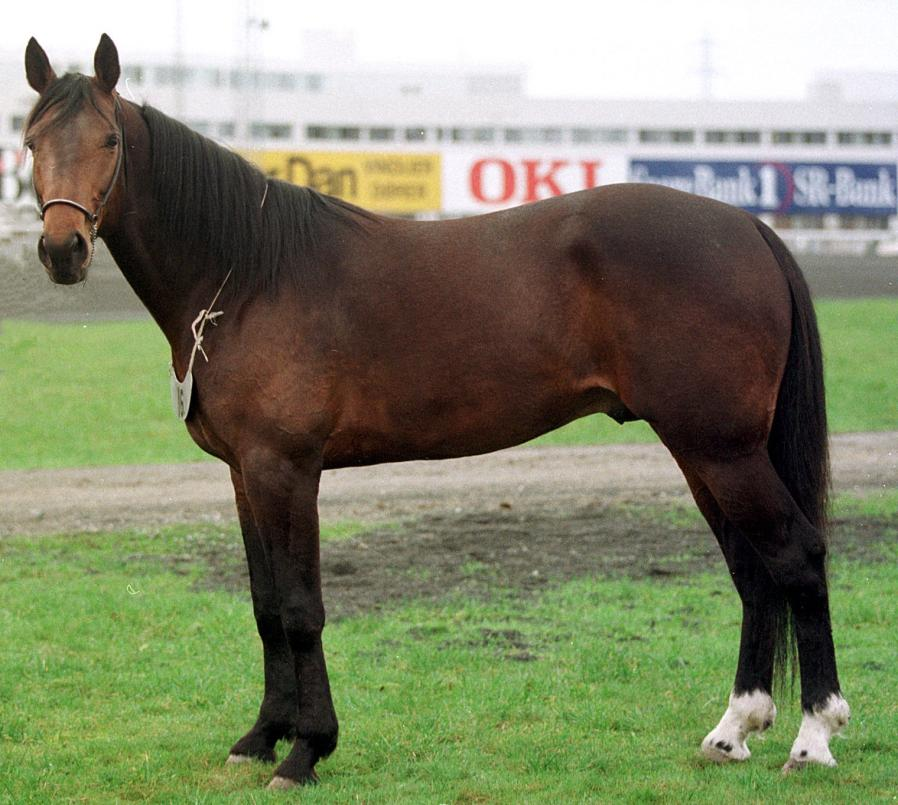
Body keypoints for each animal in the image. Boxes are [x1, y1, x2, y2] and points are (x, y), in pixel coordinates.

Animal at [21, 36, 848, 784]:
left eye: (110, 139)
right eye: (31, 140)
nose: (62, 249)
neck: (250, 274)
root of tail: (746, 228)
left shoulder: (288, 469)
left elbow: (301, 607)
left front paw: (306, 750)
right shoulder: (244, 473)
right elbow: (263, 604)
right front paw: (259, 736)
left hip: (723, 449)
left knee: (797, 556)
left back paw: (814, 737)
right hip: (702, 450)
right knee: (752, 568)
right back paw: (734, 729)